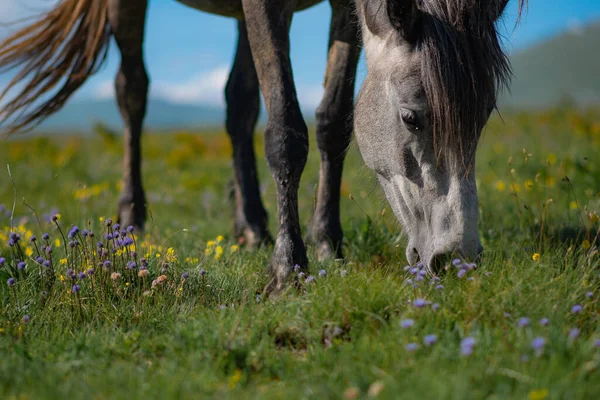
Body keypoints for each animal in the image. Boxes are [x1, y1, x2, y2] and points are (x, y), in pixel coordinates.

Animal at [0, 0, 524, 290]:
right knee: (133, 91)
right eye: (412, 118)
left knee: (238, 103)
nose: (456, 257)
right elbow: (286, 132)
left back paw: (250, 224)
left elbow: (333, 121)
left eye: (482, 119)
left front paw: (327, 241)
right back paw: (133, 214)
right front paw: (289, 267)